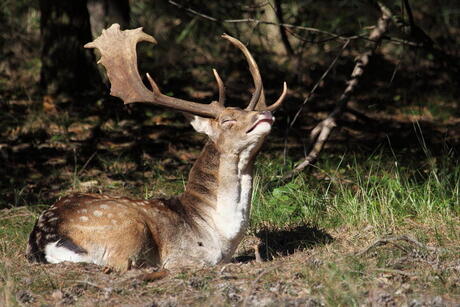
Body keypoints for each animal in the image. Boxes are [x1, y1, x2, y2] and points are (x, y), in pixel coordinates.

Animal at [26, 24, 288, 270]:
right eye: (227, 120)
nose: (264, 114)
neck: (219, 234)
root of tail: (44, 239)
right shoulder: (187, 255)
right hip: (127, 227)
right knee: (120, 263)